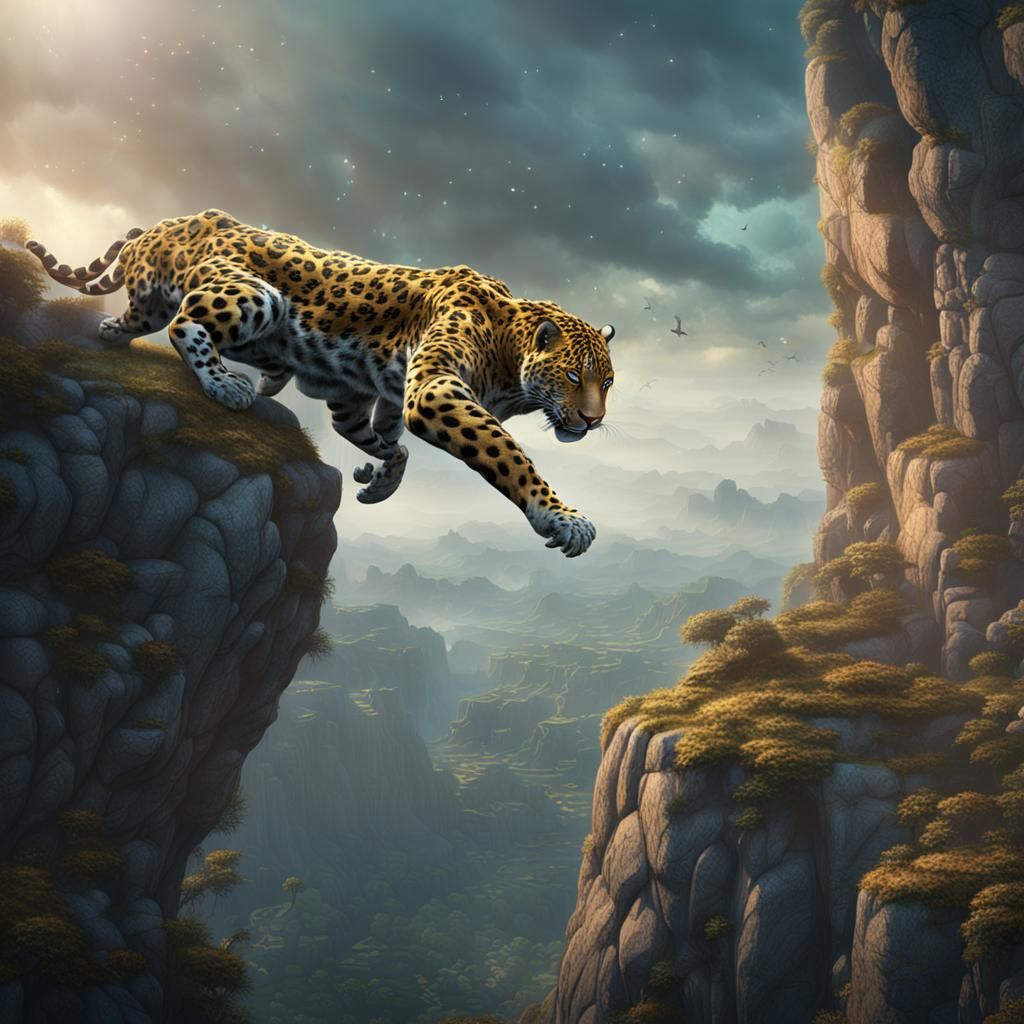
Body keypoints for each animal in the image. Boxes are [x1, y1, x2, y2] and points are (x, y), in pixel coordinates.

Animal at [27, 209, 616, 557]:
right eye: (571, 375)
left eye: (607, 381)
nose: (593, 420)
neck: (510, 357)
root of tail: (181, 220)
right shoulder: (434, 391)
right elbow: (506, 453)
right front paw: (562, 517)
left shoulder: (357, 399)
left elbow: (384, 440)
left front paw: (379, 479)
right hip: (254, 294)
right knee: (184, 323)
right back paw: (228, 386)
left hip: (171, 302)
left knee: (135, 316)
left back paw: (116, 333)